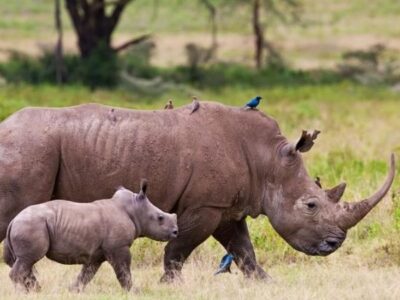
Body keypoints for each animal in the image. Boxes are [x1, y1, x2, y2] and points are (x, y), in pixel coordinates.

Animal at [3, 179, 178, 292]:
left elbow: (87, 273)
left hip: (27, 224)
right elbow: (123, 270)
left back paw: (37, 291)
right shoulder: (119, 247)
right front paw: (134, 292)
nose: (175, 231)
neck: (134, 209)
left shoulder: (97, 252)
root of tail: (13, 220)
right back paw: (26, 293)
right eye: (160, 218)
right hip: (31, 225)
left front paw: (73, 291)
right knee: (28, 259)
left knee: (25, 261)